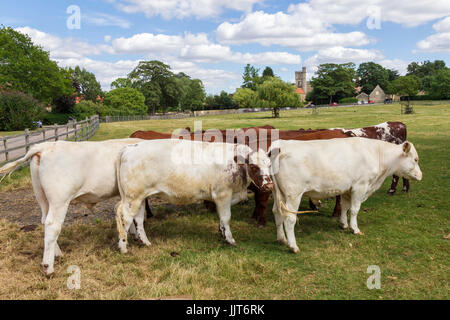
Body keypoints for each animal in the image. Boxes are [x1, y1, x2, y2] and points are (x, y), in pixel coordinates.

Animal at [0, 139, 149, 276]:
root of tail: (44, 146)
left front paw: (133, 234)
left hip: (42, 197)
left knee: (44, 222)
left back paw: (57, 254)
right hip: (59, 199)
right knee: (52, 225)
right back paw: (48, 267)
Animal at [114, 139, 272, 254]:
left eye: (269, 165)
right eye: (254, 167)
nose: (269, 185)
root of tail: (129, 147)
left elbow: (222, 217)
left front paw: (221, 230)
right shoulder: (222, 194)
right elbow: (226, 217)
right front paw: (230, 239)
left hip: (139, 198)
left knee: (139, 220)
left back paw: (145, 242)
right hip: (132, 197)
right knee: (125, 218)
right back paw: (123, 247)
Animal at [268, 137, 424, 252]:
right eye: (415, 159)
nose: (421, 175)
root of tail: (281, 145)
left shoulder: (348, 188)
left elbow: (345, 206)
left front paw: (343, 224)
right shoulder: (360, 186)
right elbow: (354, 210)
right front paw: (355, 228)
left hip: (277, 192)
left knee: (276, 212)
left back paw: (281, 239)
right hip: (293, 194)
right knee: (289, 218)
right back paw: (293, 246)